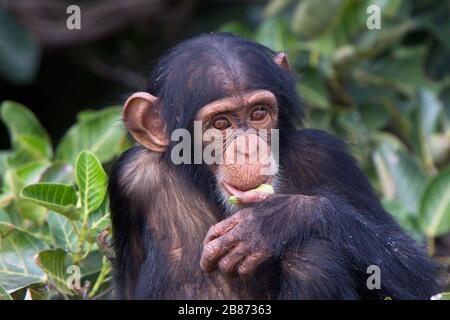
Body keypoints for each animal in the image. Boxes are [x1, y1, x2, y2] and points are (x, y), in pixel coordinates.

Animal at [109, 33, 440, 300]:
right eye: (220, 123)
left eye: (258, 113)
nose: (248, 148)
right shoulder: (128, 178)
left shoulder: (329, 156)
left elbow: (416, 272)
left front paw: (276, 219)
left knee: (312, 257)